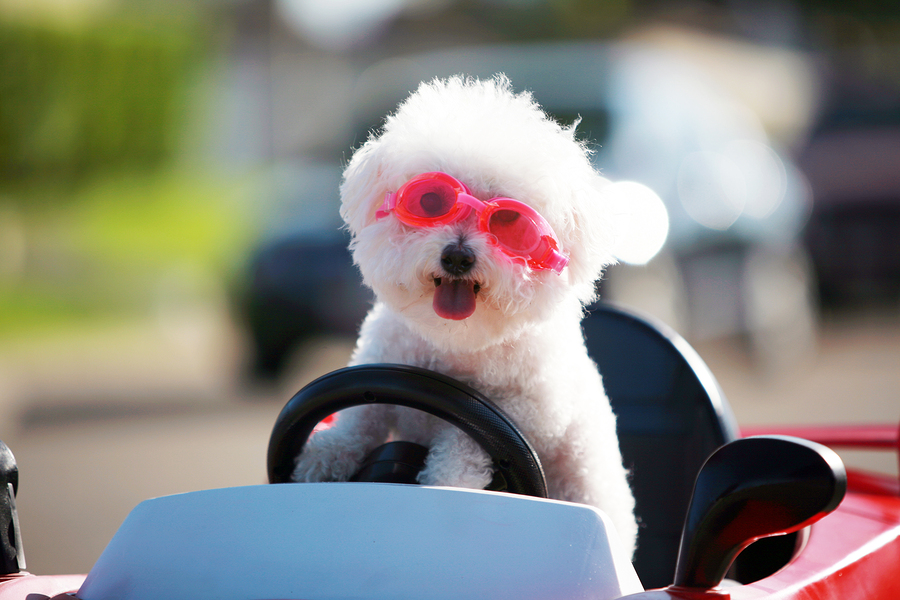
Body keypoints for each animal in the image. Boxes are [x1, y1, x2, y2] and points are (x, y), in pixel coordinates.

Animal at [292, 75, 636, 556]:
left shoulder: (523, 411)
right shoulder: (380, 364)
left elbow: (465, 442)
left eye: (510, 223)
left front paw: (447, 485)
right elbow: (361, 414)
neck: (457, 344)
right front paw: (327, 452)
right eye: (431, 200)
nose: (457, 256)